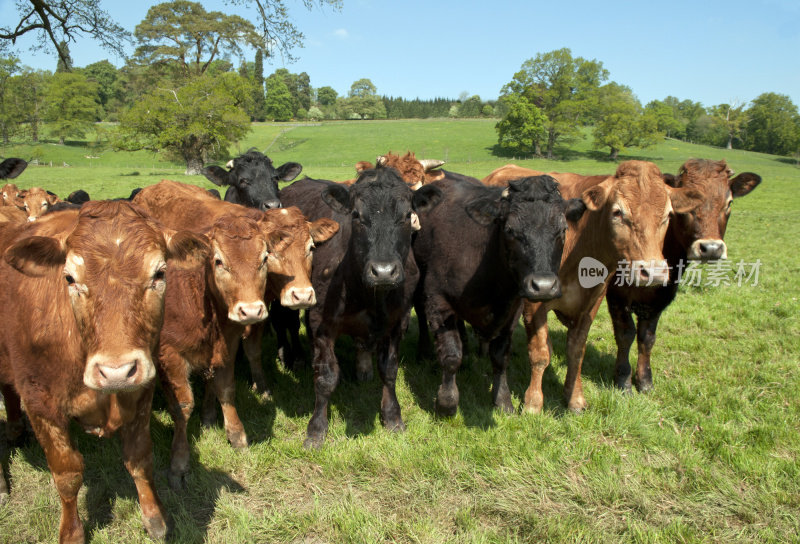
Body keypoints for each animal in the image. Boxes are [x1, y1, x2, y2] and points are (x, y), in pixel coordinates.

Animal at [0, 201, 209, 544]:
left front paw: (155, 516)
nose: (116, 372)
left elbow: (140, 457)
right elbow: (68, 474)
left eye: (159, 273)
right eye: (69, 278)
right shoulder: (40, 401)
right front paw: (72, 533)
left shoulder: (141, 390)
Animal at [278, 168, 444, 448]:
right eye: (356, 215)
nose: (384, 271)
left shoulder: (397, 323)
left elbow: (389, 370)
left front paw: (392, 417)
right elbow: (325, 378)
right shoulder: (321, 323)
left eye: (406, 215)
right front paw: (316, 429)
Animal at [416, 174, 584, 416]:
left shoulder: (512, 309)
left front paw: (503, 400)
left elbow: (500, 357)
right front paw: (446, 403)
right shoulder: (438, 299)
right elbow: (450, 355)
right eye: (511, 230)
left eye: (562, 230)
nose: (543, 286)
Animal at [484, 162, 704, 412]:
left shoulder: (592, 303)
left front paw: (575, 398)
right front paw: (533, 403)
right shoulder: (534, 300)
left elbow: (576, 350)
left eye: (667, 215)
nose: (654, 272)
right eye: (618, 212)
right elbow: (539, 353)